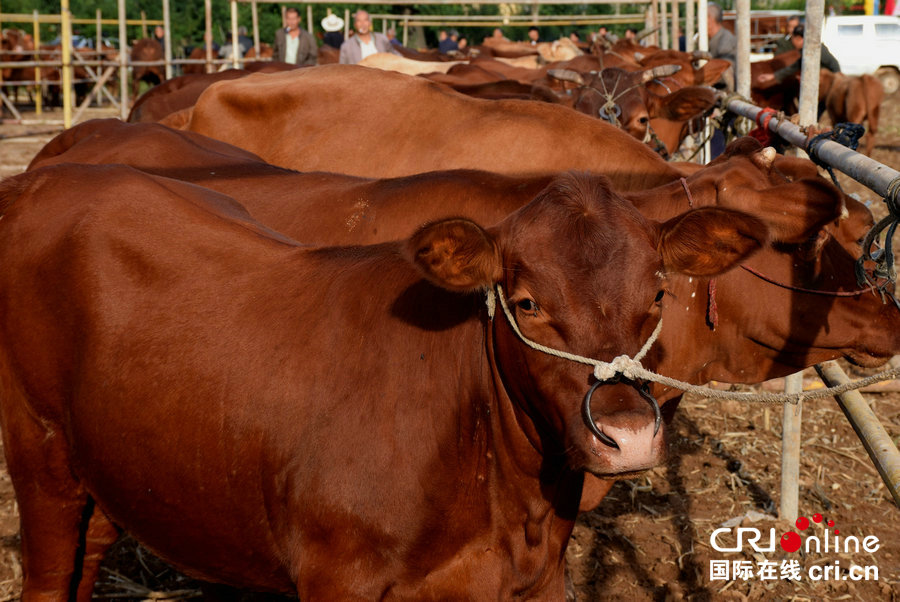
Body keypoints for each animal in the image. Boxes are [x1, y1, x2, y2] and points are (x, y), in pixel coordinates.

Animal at [0, 162, 768, 596]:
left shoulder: (542, 578)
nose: (627, 433)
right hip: (38, 454)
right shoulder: (336, 576)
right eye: (526, 303)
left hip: (115, 465)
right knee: (48, 576)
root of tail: (41, 180)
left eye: (659, 294)